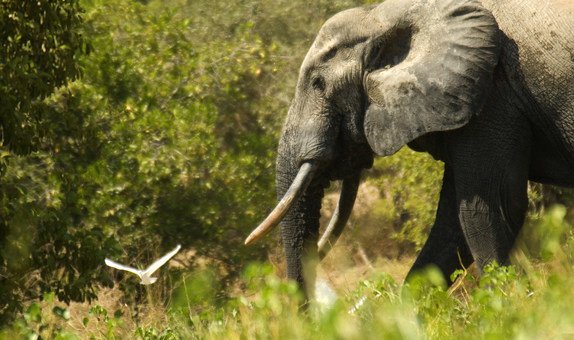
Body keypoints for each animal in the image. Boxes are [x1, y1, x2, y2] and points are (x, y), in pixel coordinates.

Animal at [244, 0, 574, 298]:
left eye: (318, 84)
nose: (307, 314)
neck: (384, 15)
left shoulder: (492, 95)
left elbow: (487, 209)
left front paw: (508, 306)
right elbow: (451, 226)